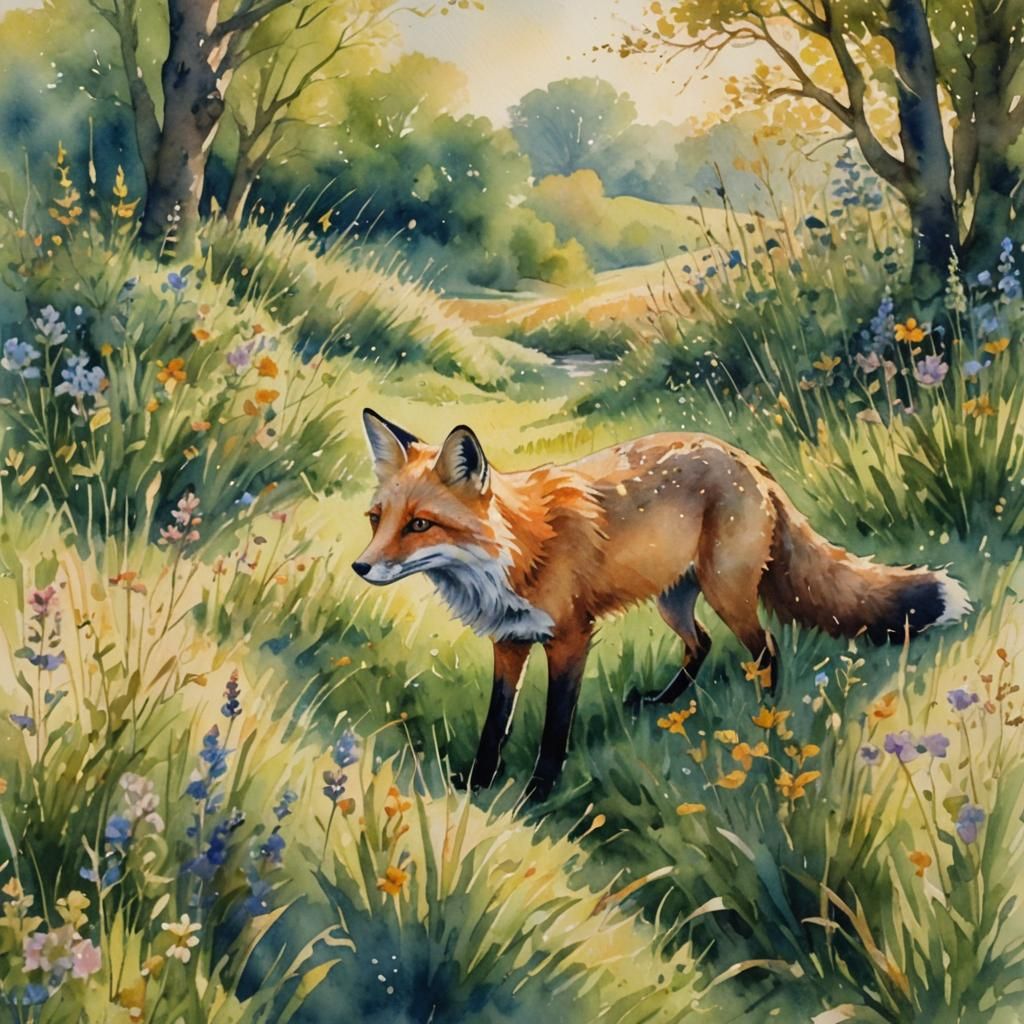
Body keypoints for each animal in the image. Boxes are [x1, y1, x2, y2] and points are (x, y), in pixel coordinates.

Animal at [352, 409, 971, 799]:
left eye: (420, 524)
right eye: (376, 519)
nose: (360, 567)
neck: (518, 548)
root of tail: (746, 459)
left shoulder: (571, 638)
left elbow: (554, 727)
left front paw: (537, 793)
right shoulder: (510, 640)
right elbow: (494, 722)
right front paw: (478, 784)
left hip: (727, 592)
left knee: (767, 648)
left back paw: (767, 724)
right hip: (675, 600)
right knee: (701, 644)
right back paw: (660, 703)